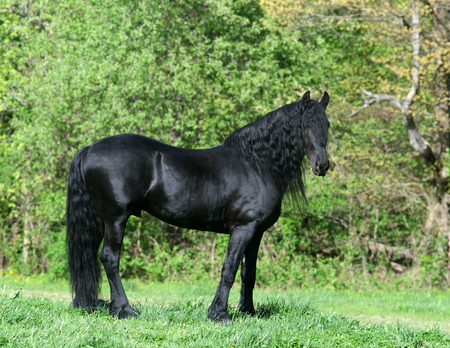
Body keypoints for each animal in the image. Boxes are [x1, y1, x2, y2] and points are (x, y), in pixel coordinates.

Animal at [67, 90, 330, 320]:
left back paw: (111, 308)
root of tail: (89, 148)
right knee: (110, 259)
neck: (256, 164)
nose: (322, 165)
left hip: (103, 219)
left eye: (327, 125)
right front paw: (219, 314)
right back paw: (125, 310)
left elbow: (249, 273)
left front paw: (248, 312)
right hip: (116, 218)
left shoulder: (256, 233)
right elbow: (229, 269)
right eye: (305, 125)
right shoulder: (243, 228)